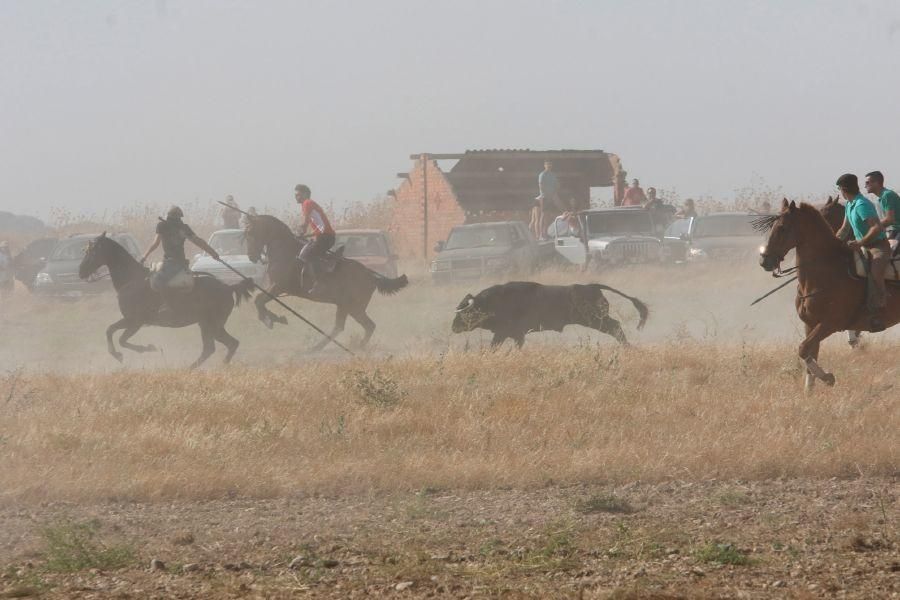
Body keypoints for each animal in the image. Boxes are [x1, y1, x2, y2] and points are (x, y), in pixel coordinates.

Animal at [79, 233, 255, 366]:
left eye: (92, 251)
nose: (81, 272)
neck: (132, 279)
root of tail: (228, 287)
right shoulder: (129, 320)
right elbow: (110, 330)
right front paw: (118, 354)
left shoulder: (135, 321)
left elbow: (121, 338)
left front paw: (145, 349)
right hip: (210, 325)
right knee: (226, 344)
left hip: (210, 324)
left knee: (213, 347)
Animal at [239, 214, 408, 352]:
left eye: (250, 233)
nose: (251, 256)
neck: (285, 251)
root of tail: (371, 276)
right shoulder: (274, 287)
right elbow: (259, 300)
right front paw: (272, 318)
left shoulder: (278, 286)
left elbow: (259, 300)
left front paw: (270, 320)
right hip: (346, 306)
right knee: (351, 326)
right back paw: (321, 347)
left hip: (353, 307)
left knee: (362, 326)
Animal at [454, 282, 652, 346]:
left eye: (465, 312)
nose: (453, 327)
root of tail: (592, 286)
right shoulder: (511, 335)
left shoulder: (508, 333)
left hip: (596, 320)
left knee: (615, 327)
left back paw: (627, 347)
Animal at [756, 199, 896, 392]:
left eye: (782, 228)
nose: (765, 261)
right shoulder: (810, 324)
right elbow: (810, 353)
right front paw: (809, 390)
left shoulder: (830, 323)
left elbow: (803, 348)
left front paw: (828, 377)